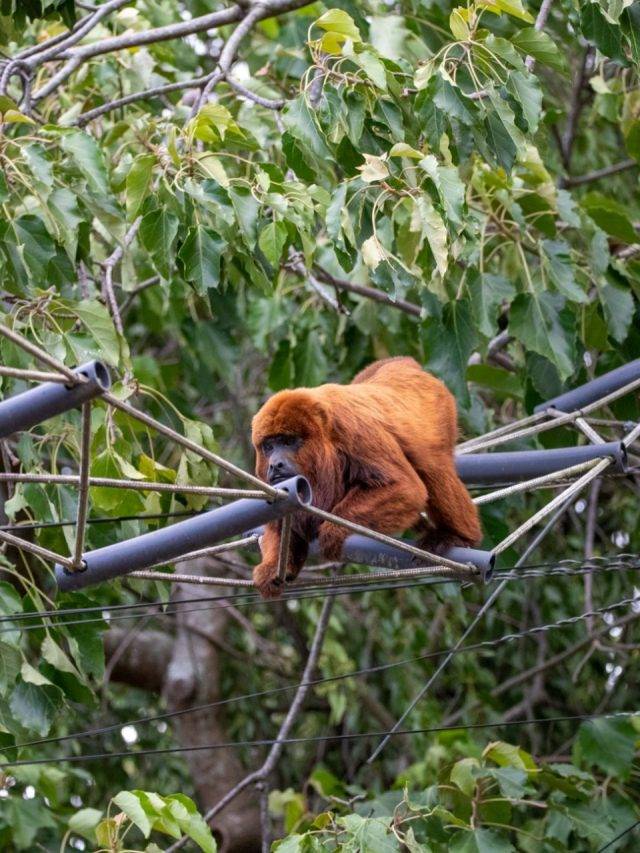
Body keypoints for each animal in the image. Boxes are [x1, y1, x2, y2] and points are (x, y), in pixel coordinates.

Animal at [251, 356, 481, 598]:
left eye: (288, 441)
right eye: (269, 446)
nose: (275, 464)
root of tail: (404, 364)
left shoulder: (353, 429)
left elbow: (403, 487)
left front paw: (333, 532)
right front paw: (273, 568)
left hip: (438, 409)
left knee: (431, 465)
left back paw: (458, 536)